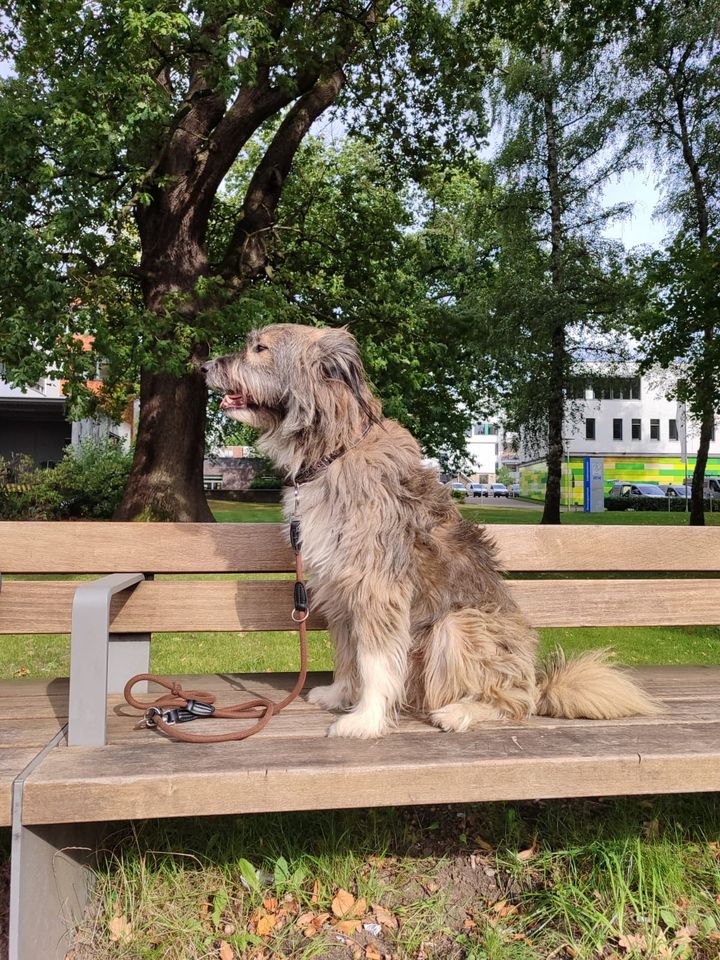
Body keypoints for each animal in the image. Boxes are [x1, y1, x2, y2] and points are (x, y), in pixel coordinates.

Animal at [201, 326, 660, 740]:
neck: (335, 450)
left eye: (259, 348)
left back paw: (462, 712)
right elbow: (348, 651)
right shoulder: (339, 585)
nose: (203, 366)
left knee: (516, 703)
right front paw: (340, 694)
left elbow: (374, 662)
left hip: (457, 627)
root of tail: (537, 682)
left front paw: (365, 720)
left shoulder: (376, 587)